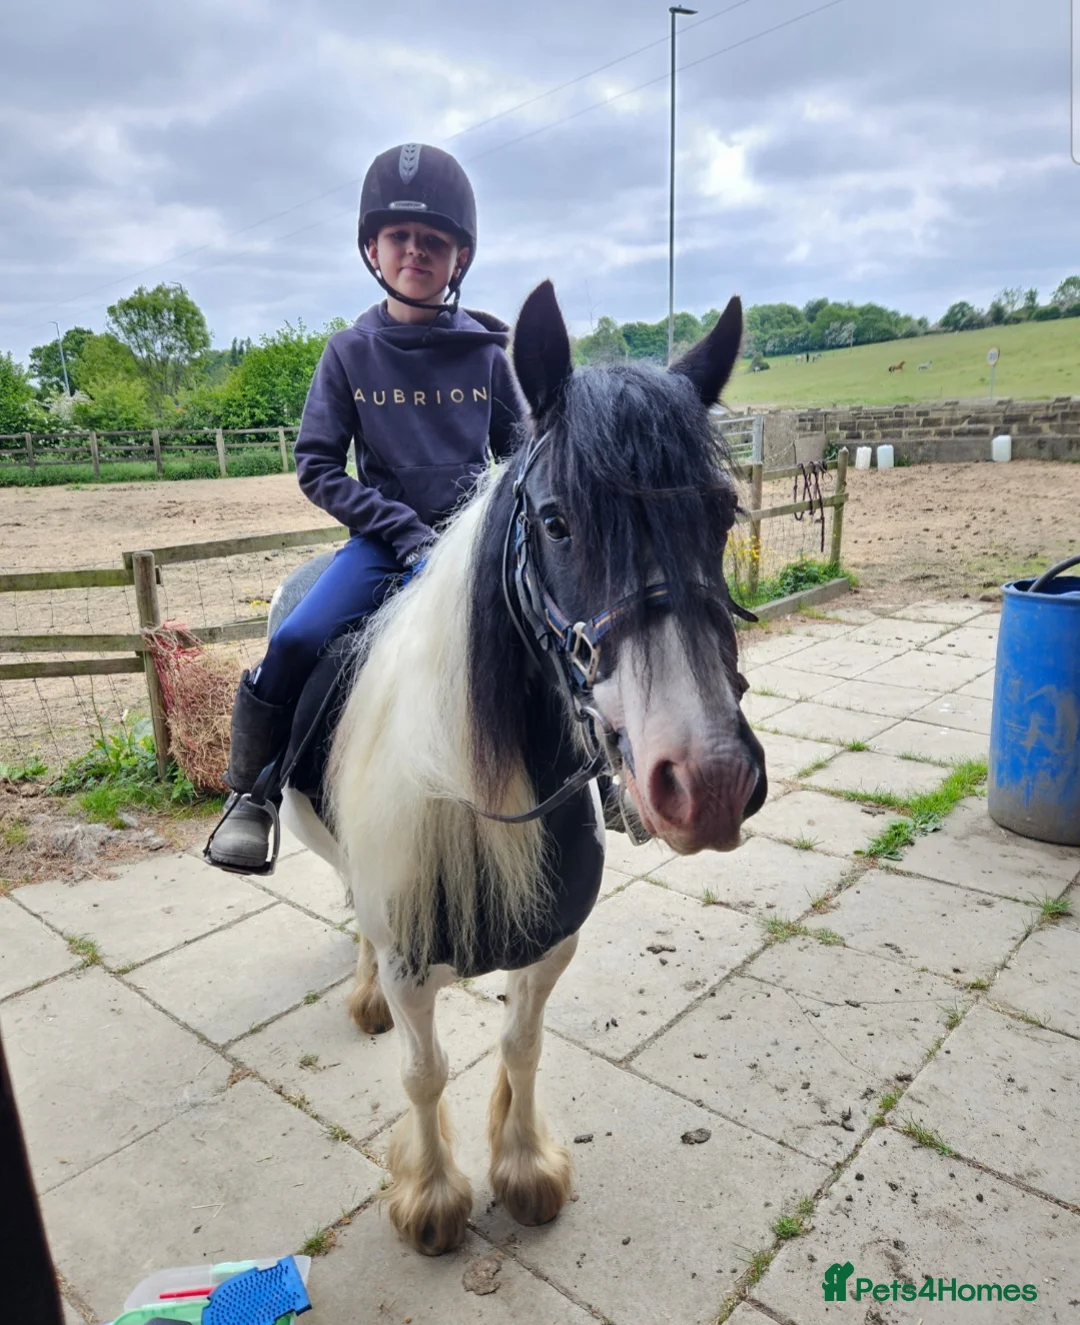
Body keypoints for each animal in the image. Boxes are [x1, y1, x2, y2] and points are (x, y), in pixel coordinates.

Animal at [257, 280, 768, 1256]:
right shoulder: (411, 953)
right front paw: (432, 1197)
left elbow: (521, 1046)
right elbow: (423, 1069)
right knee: (351, 901)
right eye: (557, 520)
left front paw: (526, 1168)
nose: (711, 778)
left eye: (722, 512)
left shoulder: (552, 940)